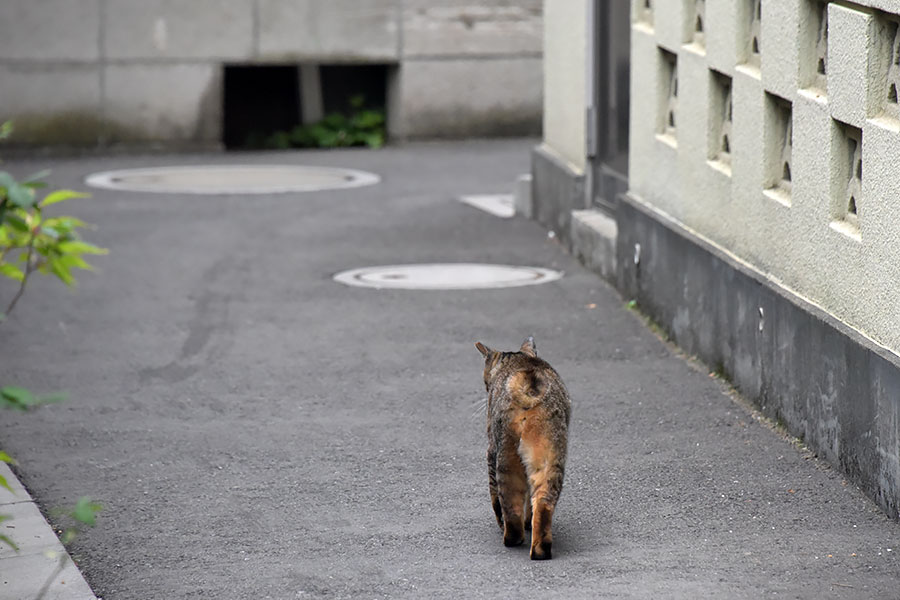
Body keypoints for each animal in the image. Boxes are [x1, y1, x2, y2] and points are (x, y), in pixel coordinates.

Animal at [478, 336, 568, 560]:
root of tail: (529, 383)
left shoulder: (490, 449)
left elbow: (495, 497)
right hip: (550, 457)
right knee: (543, 503)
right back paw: (540, 549)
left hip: (505, 455)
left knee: (509, 502)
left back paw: (511, 537)